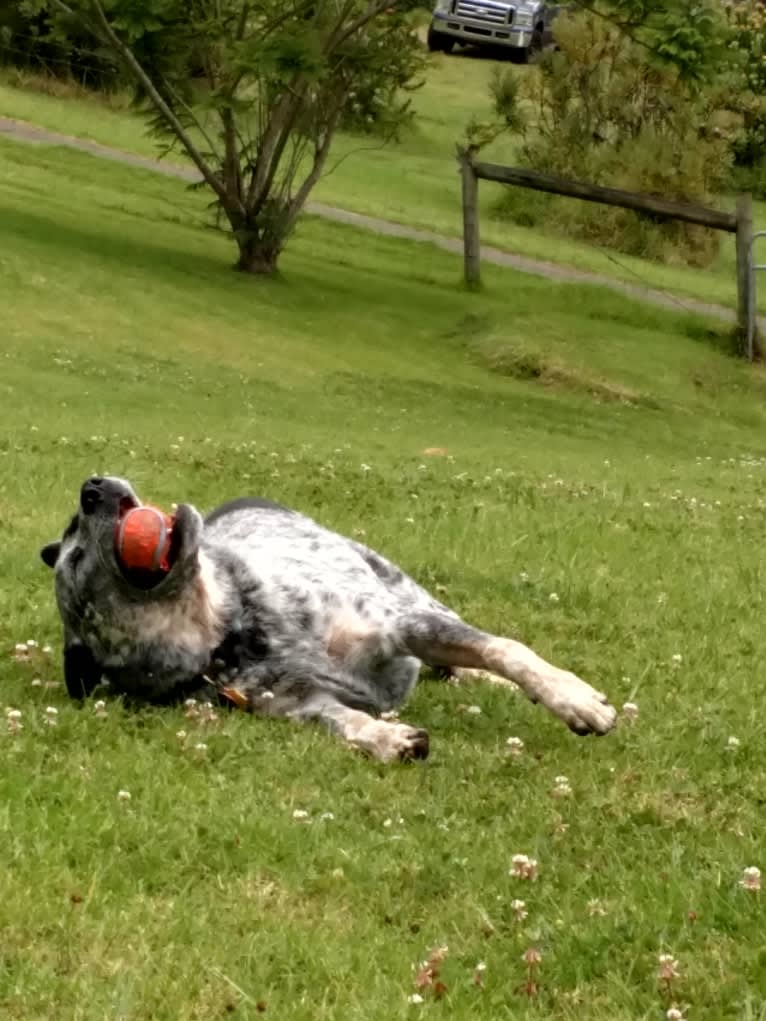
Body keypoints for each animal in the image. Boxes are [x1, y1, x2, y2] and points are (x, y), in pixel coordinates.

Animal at [40, 475, 616, 759]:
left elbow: (505, 650)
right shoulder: (295, 704)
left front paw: (575, 700)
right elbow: (340, 720)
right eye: (78, 558)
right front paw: (386, 739)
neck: (235, 633)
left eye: (72, 527)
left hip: (404, 586)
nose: (91, 487)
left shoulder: (399, 625)